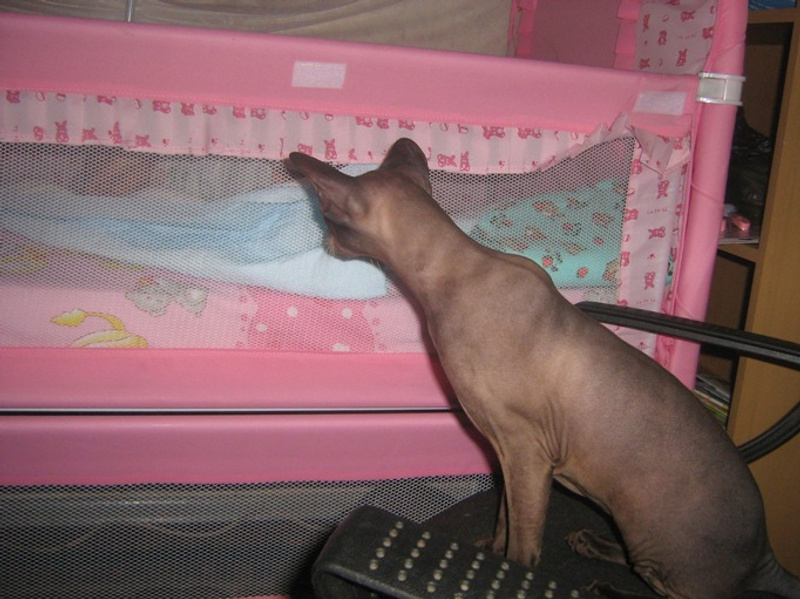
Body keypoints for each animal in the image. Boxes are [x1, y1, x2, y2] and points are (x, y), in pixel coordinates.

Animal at [290, 138, 800, 598]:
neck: (459, 269)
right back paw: (593, 543)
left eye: (326, 218)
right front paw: (486, 557)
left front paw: (508, 576)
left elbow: (523, 546)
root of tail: (765, 554)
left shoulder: (527, 452)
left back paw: (603, 580)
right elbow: (504, 520)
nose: (325, 243)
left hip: (658, 546)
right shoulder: (506, 452)